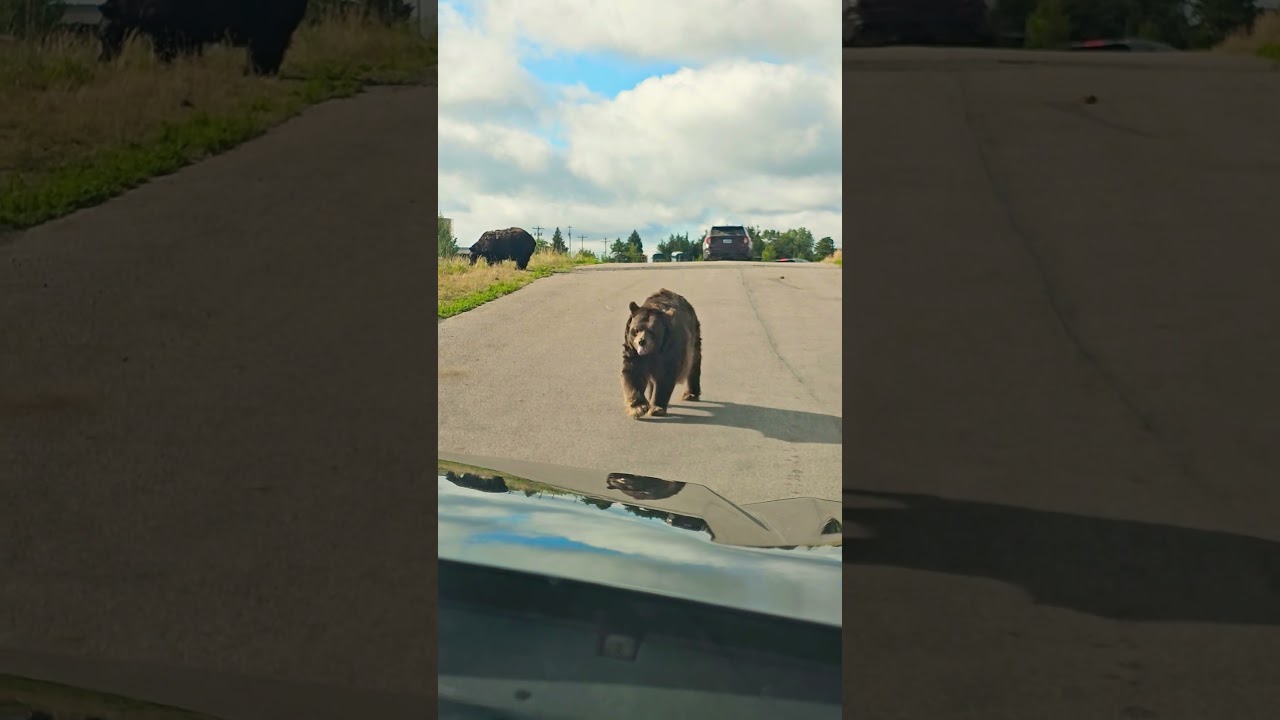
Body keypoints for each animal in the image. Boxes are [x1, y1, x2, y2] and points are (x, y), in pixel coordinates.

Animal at [96, 0, 310, 76]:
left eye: (102, 36)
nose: (102, 59)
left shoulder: (166, 29)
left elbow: (164, 52)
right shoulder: (186, 33)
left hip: (268, 25)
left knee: (266, 48)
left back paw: (259, 70)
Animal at [621, 288, 702, 419]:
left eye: (652, 331)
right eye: (636, 330)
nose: (642, 341)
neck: (654, 352)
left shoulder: (669, 349)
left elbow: (665, 377)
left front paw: (657, 408)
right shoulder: (633, 352)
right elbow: (633, 374)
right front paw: (639, 408)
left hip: (694, 336)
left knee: (694, 363)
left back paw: (690, 394)